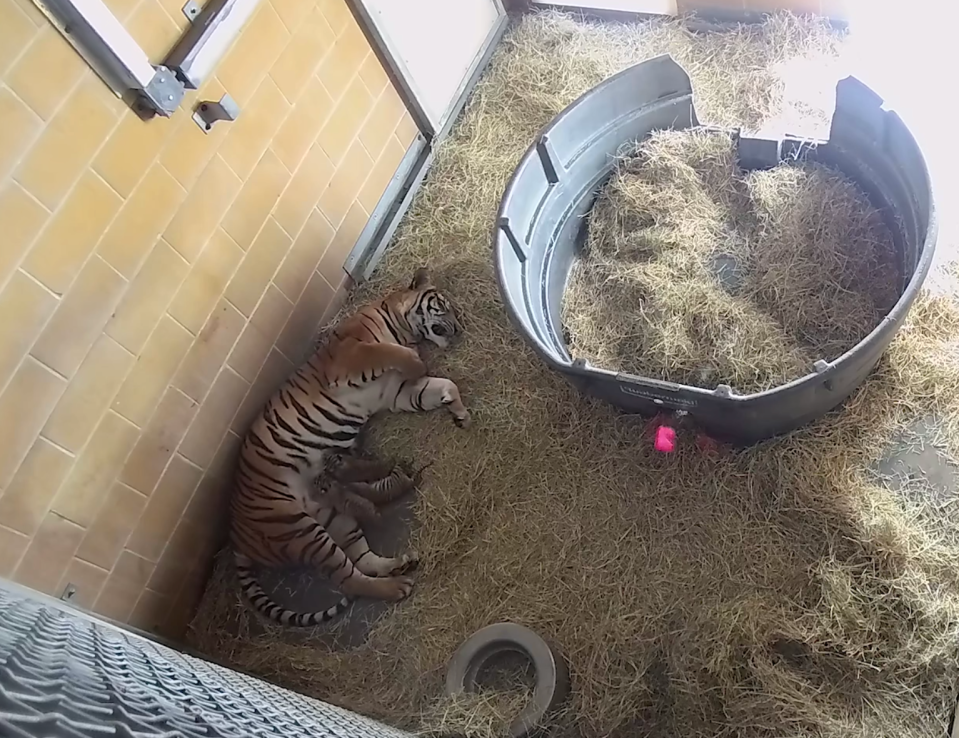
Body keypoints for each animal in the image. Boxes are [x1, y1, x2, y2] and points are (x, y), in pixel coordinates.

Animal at [229, 268, 468, 624]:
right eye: (443, 305)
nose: (459, 329)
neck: (404, 330)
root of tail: (236, 540)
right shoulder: (353, 354)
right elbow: (393, 355)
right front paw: (420, 364)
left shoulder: (396, 391)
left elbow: (442, 385)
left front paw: (459, 411)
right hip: (296, 528)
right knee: (348, 579)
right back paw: (397, 587)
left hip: (330, 518)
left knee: (361, 562)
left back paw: (399, 565)